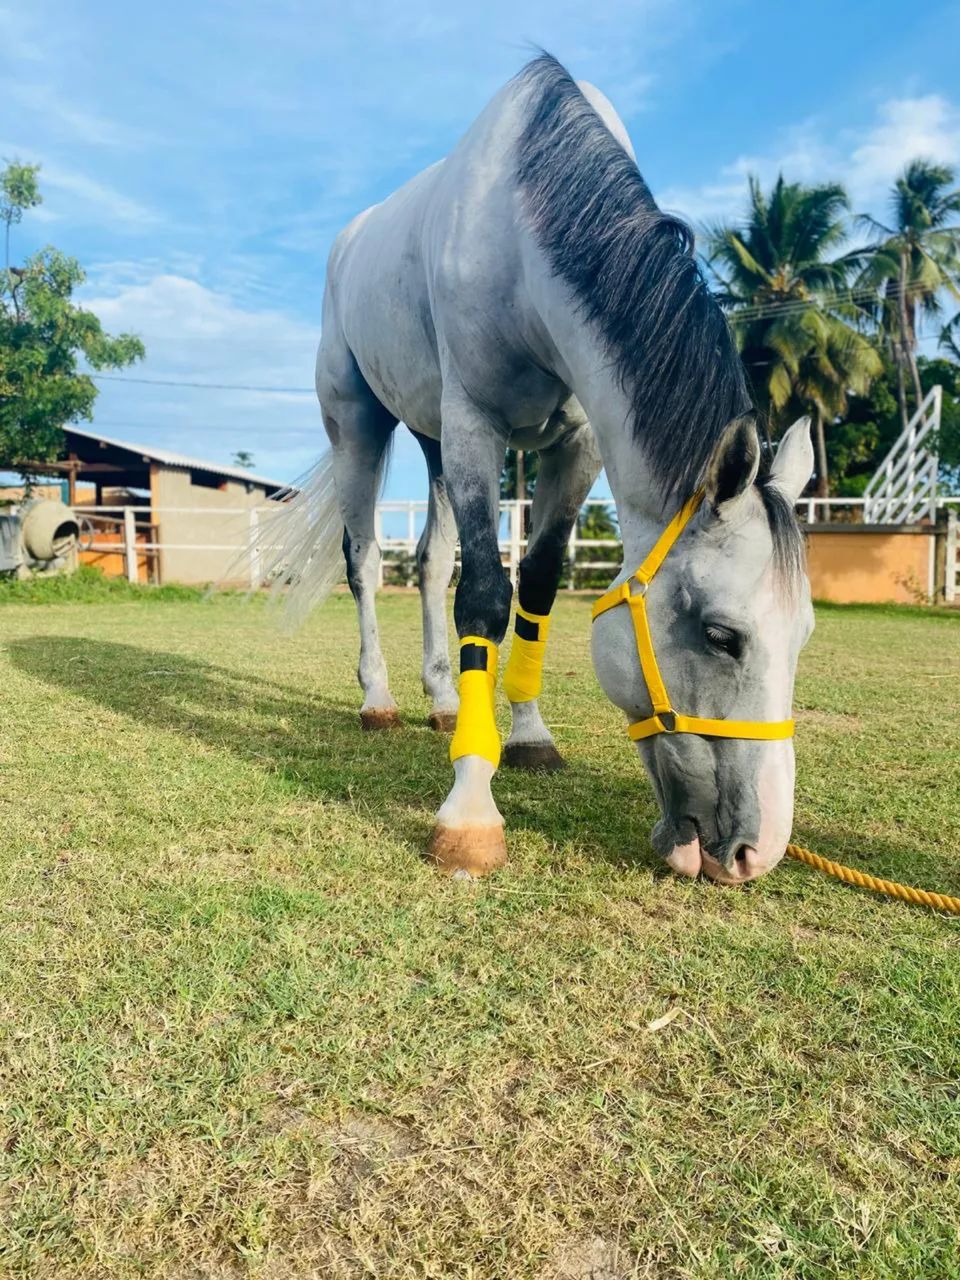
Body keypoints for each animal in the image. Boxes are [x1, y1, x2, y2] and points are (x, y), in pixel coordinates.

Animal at [264, 53, 815, 884]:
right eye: (723, 636)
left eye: (805, 633)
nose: (757, 852)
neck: (524, 232)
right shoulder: (474, 424)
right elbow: (486, 597)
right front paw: (469, 810)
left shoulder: (574, 445)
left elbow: (539, 586)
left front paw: (523, 733)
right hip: (359, 423)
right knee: (365, 564)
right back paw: (379, 700)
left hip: (430, 437)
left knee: (430, 562)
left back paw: (445, 701)